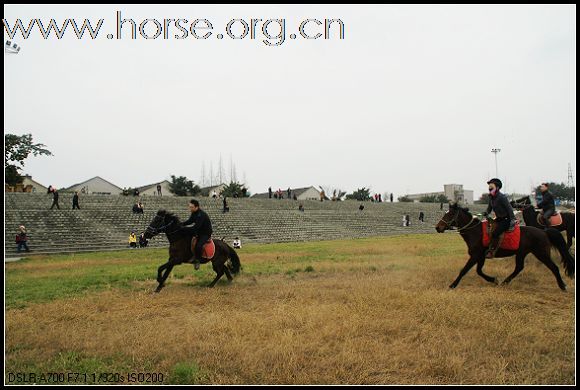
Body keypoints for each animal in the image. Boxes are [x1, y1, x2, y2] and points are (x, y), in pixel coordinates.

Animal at [432, 204, 572, 290]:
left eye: (450, 214)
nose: (438, 227)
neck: (476, 232)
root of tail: (544, 232)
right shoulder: (481, 256)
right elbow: (479, 271)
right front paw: (494, 280)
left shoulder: (476, 255)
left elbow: (464, 270)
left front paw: (452, 285)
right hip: (522, 253)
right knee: (519, 268)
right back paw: (505, 282)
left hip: (541, 253)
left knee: (554, 268)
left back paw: (563, 286)